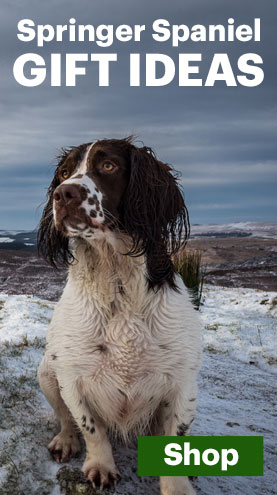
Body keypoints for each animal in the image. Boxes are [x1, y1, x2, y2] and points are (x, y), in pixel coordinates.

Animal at [37, 138, 201, 494]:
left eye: (108, 165)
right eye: (64, 173)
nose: (64, 194)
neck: (116, 281)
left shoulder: (183, 381)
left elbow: (176, 437)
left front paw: (178, 486)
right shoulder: (71, 374)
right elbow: (90, 426)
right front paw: (100, 465)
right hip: (46, 371)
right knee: (65, 418)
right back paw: (65, 441)